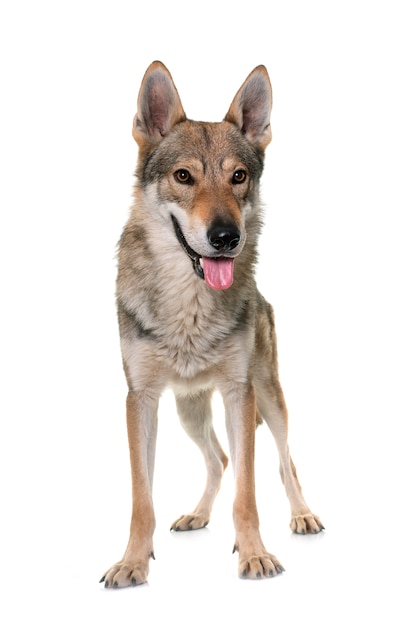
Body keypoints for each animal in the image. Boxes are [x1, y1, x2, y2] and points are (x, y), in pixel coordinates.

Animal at [99, 59, 324, 584]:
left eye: (238, 176)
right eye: (184, 176)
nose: (226, 237)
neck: (189, 308)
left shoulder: (239, 394)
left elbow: (249, 494)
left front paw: (255, 554)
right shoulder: (140, 399)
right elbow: (142, 499)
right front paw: (132, 562)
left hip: (269, 398)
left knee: (284, 463)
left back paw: (303, 515)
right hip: (189, 410)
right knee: (219, 459)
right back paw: (197, 515)